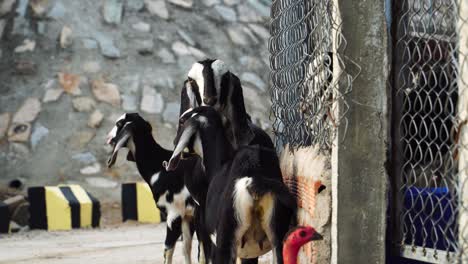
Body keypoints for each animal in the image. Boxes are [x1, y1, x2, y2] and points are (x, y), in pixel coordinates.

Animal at [108, 113, 207, 264]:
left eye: (119, 124)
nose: (108, 138)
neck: (159, 167)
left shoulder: (174, 213)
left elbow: (168, 249)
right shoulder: (188, 216)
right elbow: (186, 248)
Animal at [165, 106, 296, 262]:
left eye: (182, 121)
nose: (173, 141)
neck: (219, 165)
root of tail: (256, 177)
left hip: (225, 240)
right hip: (278, 239)